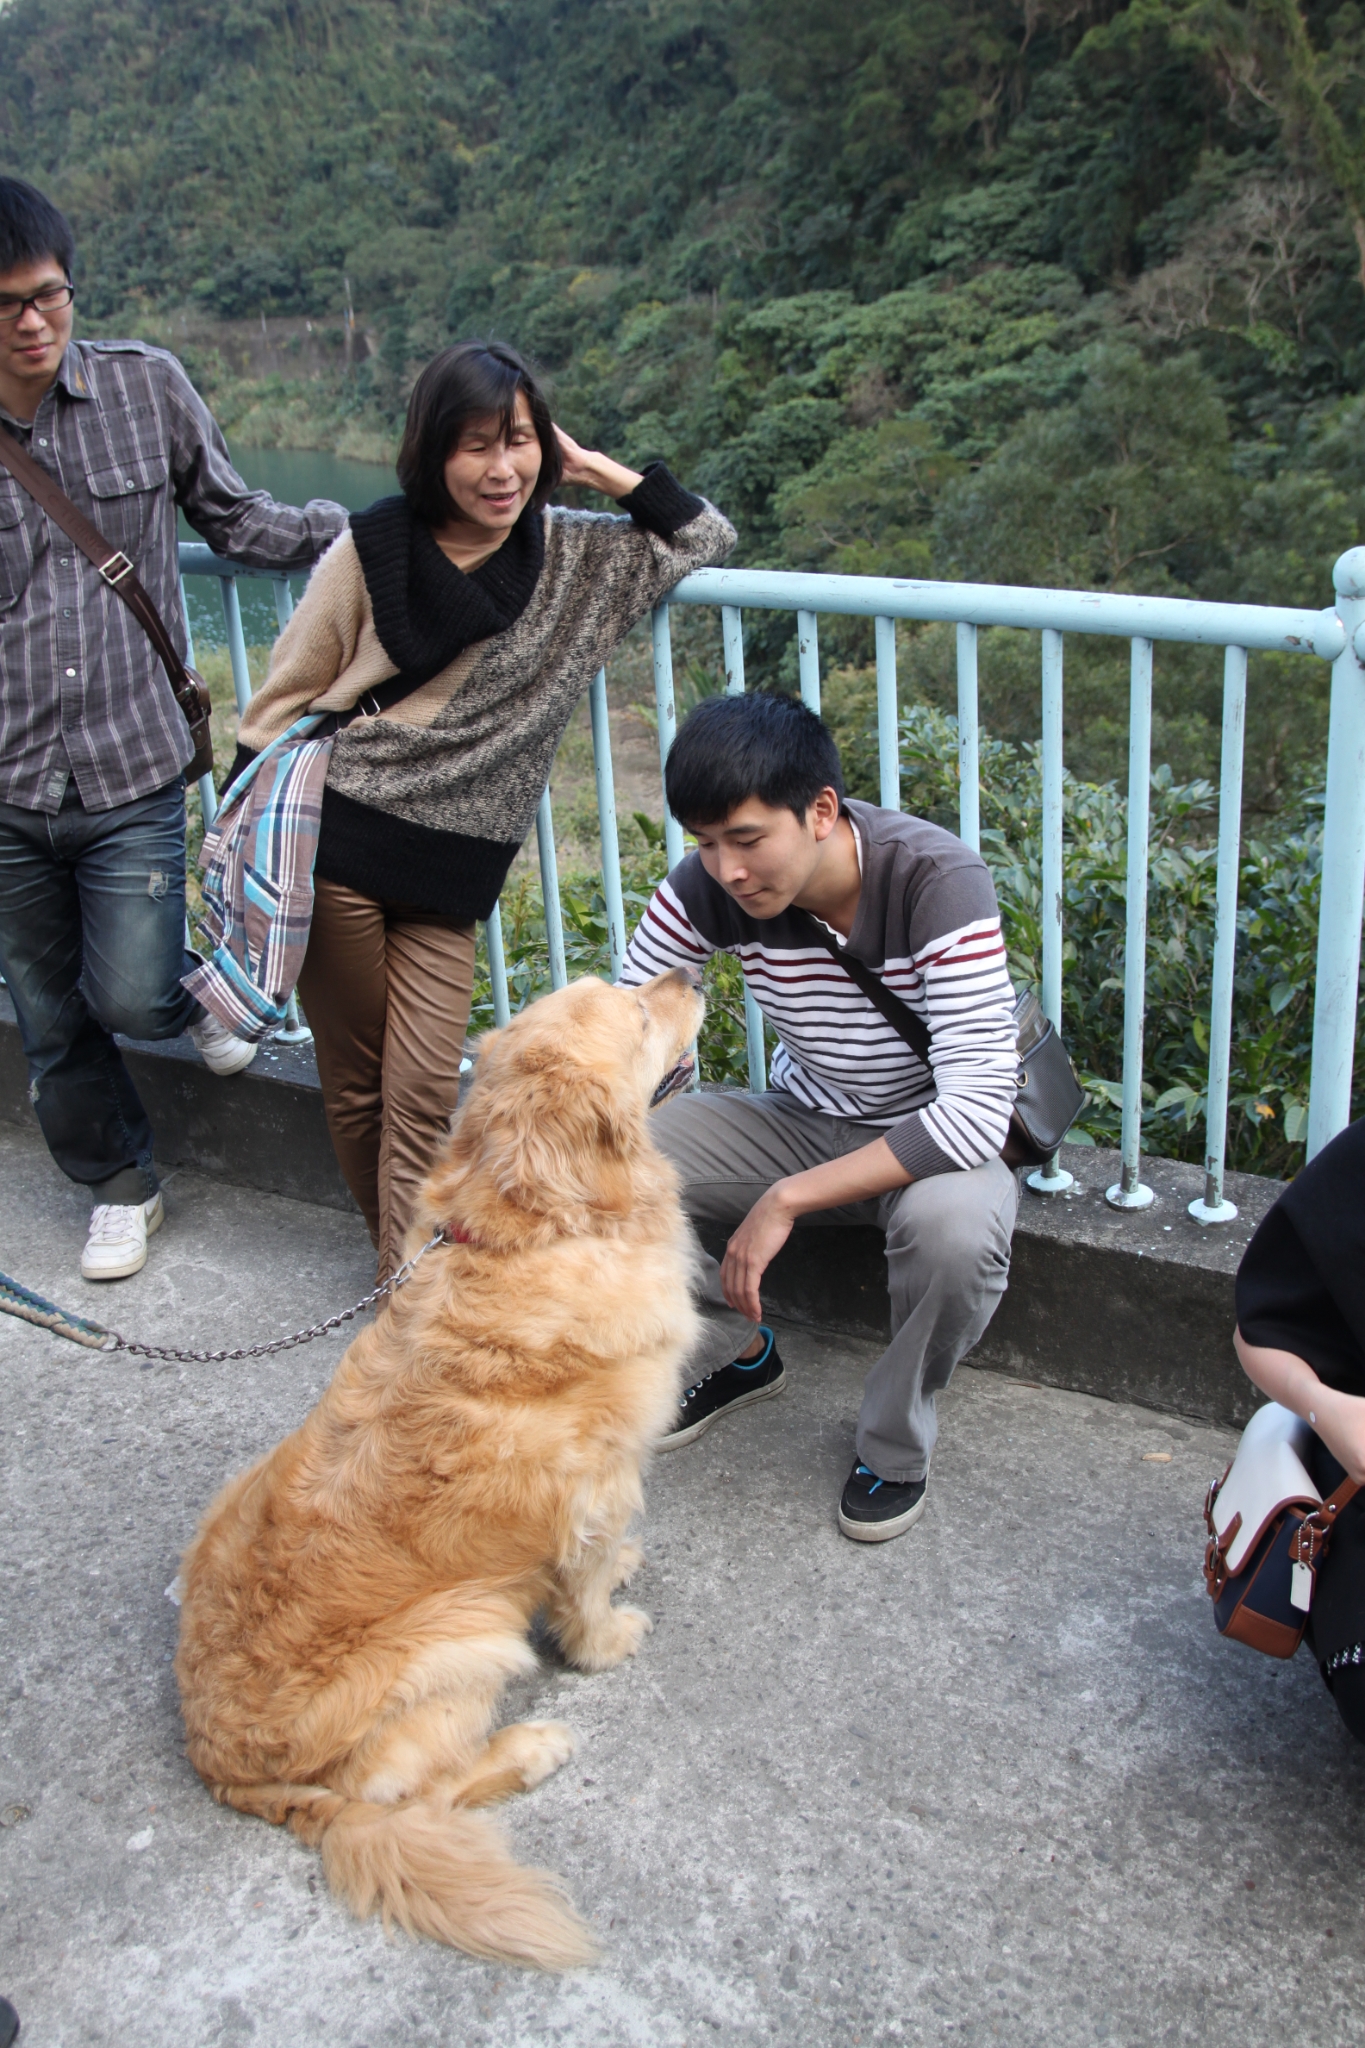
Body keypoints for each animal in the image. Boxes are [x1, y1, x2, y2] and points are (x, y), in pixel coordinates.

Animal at [174, 968, 705, 1969]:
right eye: (637, 1011)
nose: (693, 973)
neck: (535, 1232)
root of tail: (221, 1764)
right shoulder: (599, 1482)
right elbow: (583, 1588)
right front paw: (606, 1638)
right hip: (466, 1635)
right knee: (416, 1796)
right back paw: (531, 1748)